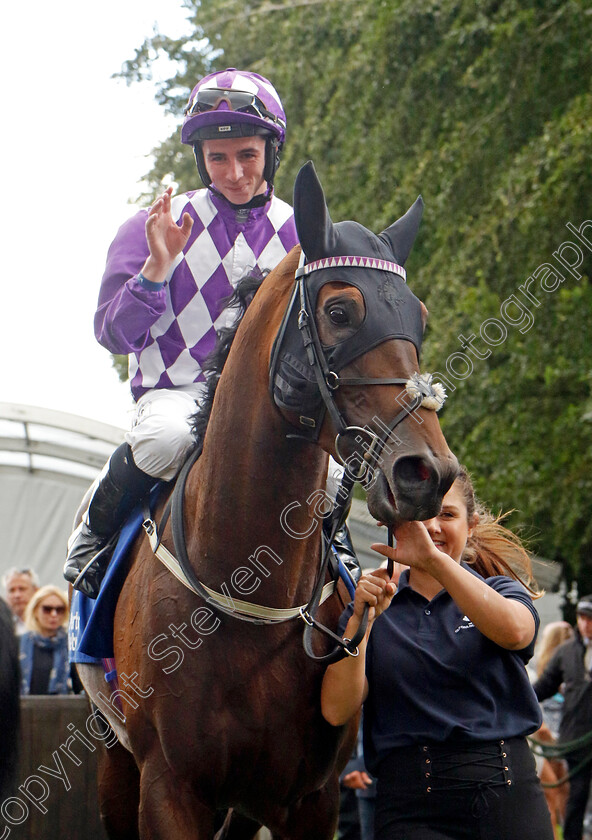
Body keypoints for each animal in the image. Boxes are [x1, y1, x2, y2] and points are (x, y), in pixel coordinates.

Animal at [77, 159, 458, 840]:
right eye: (340, 310)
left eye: (419, 315)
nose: (428, 473)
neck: (248, 588)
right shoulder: (168, 788)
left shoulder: (310, 798)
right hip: (115, 762)